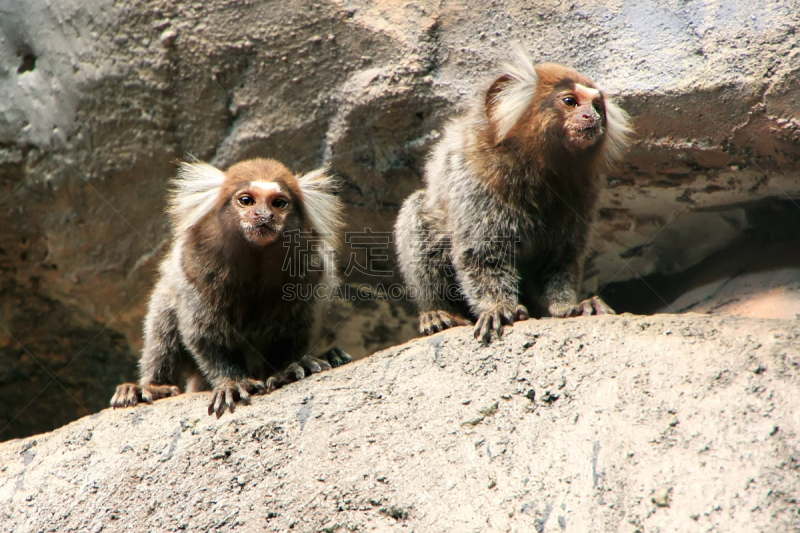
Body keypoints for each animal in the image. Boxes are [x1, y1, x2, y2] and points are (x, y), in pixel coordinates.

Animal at [112, 157, 350, 416]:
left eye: (278, 203)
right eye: (246, 201)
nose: (264, 215)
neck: (257, 260)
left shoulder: (313, 274)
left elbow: (293, 334)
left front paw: (289, 369)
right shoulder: (195, 272)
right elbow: (205, 337)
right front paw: (232, 383)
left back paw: (333, 355)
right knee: (162, 321)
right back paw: (150, 386)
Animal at [394, 47, 632, 342]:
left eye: (597, 107)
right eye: (570, 101)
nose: (593, 117)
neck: (539, 170)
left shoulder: (584, 195)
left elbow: (558, 260)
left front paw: (567, 306)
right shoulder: (478, 179)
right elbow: (481, 254)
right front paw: (499, 306)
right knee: (418, 210)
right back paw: (439, 313)